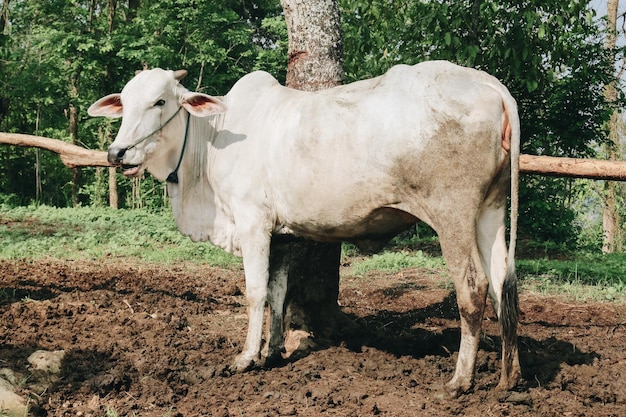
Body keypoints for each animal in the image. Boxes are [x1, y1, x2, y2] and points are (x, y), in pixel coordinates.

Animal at [86, 61, 516, 396]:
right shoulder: (281, 235)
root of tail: (492, 86)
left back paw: (460, 381)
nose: (117, 153)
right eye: (124, 103)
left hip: (452, 213)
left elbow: (256, 293)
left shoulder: (252, 223)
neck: (211, 141)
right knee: (503, 283)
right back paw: (509, 379)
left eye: (160, 101)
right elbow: (278, 293)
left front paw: (246, 357)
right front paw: (273, 352)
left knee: (473, 287)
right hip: (490, 209)